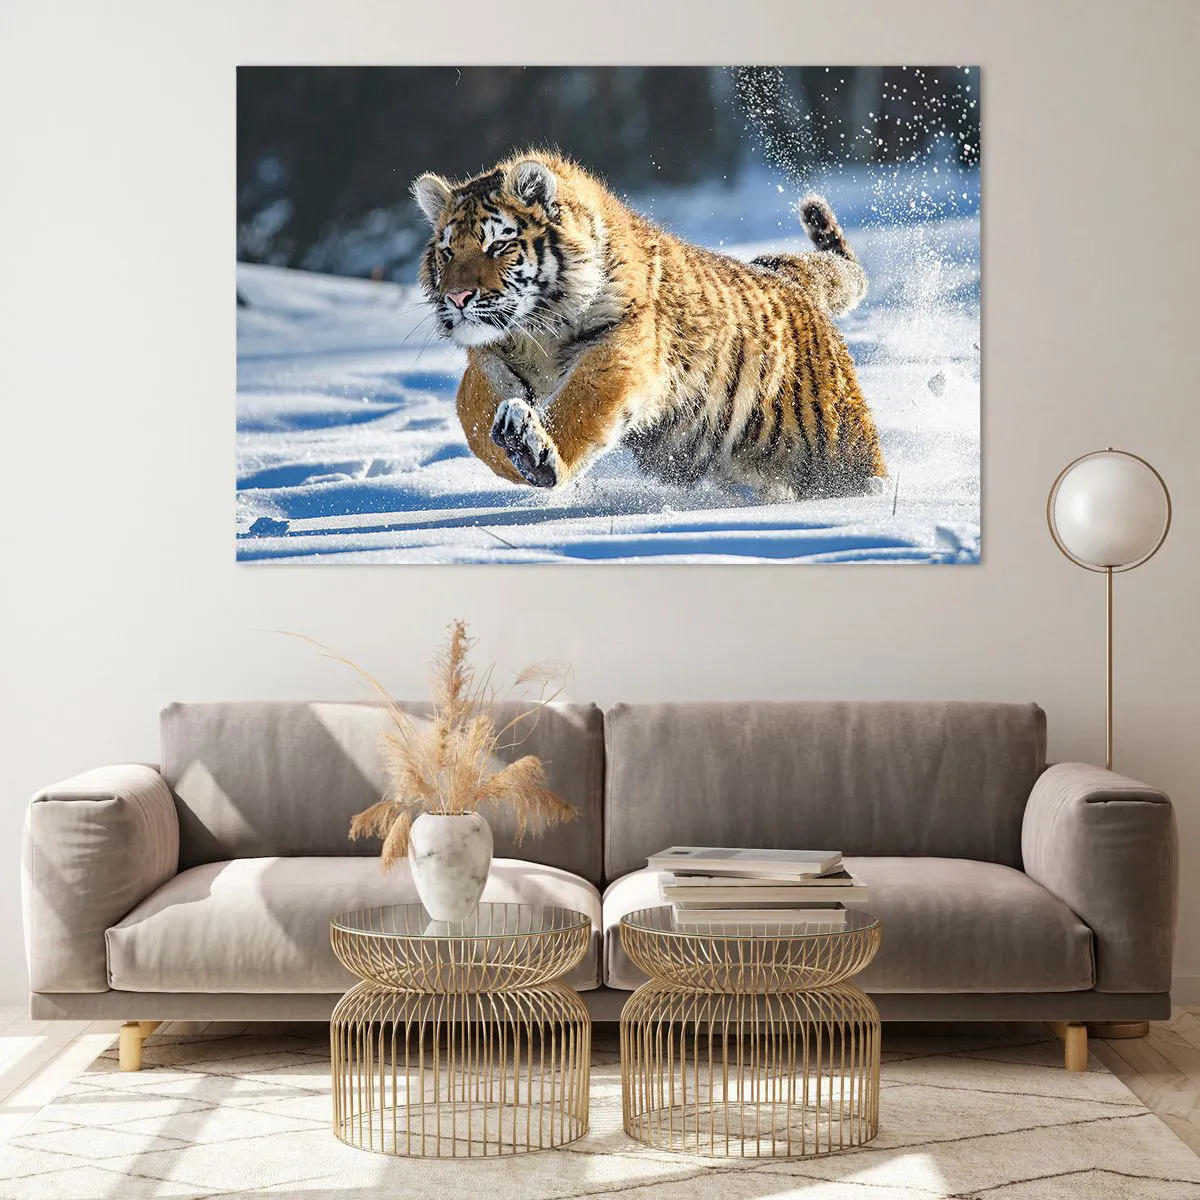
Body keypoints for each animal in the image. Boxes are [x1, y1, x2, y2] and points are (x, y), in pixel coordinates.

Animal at [412, 150, 886, 500]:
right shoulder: (489, 356)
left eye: (498, 245)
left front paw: (535, 454)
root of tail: (787, 277)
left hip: (836, 441)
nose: (457, 298)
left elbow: (578, 406)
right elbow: (473, 416)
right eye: (448, 251)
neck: (537, 330)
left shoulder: (619, 348)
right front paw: (509, 444)